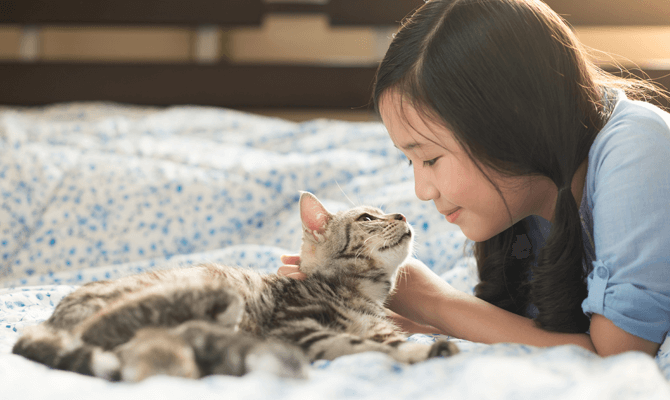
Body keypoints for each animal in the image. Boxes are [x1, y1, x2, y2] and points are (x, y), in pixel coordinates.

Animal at [11, 193, 462, 382]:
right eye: (368, 217)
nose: (403, 214)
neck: (363, 294)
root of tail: (50, 319)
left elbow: (383, 338)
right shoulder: (297, 329)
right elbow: (363, 344)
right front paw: (420, 351)